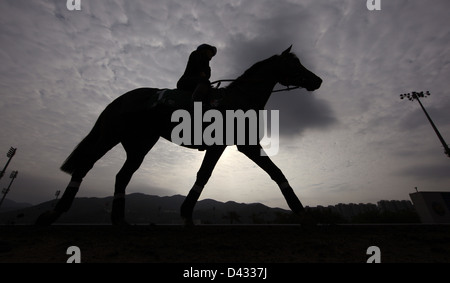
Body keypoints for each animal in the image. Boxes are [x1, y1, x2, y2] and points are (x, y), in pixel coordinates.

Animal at [36, 46, 324, 226]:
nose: (317, 80)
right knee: (85, 166)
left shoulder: (245, 145)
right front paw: (186, 214)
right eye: (294, 63)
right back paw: (54, 214)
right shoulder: (227, 146)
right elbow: (205, 176)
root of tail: (122, 98)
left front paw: (302, 213)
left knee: (122, 176)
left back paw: (120, 220)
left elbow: (275, 172)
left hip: (140, 144)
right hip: (111, 135)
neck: (238, 99)